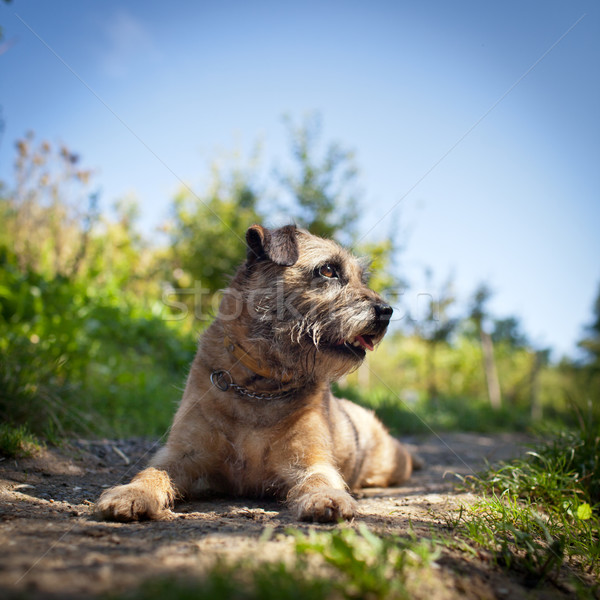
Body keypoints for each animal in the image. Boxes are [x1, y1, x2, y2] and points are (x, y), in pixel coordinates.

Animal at [96, 223, 414, 524]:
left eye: (362, 278)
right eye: (328, 270)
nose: (386, 311)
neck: (261, 385)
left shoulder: (309, 459)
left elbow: (319, 478)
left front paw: (327, 497)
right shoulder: (182, 453)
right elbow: (152, 471)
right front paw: (132, 493)